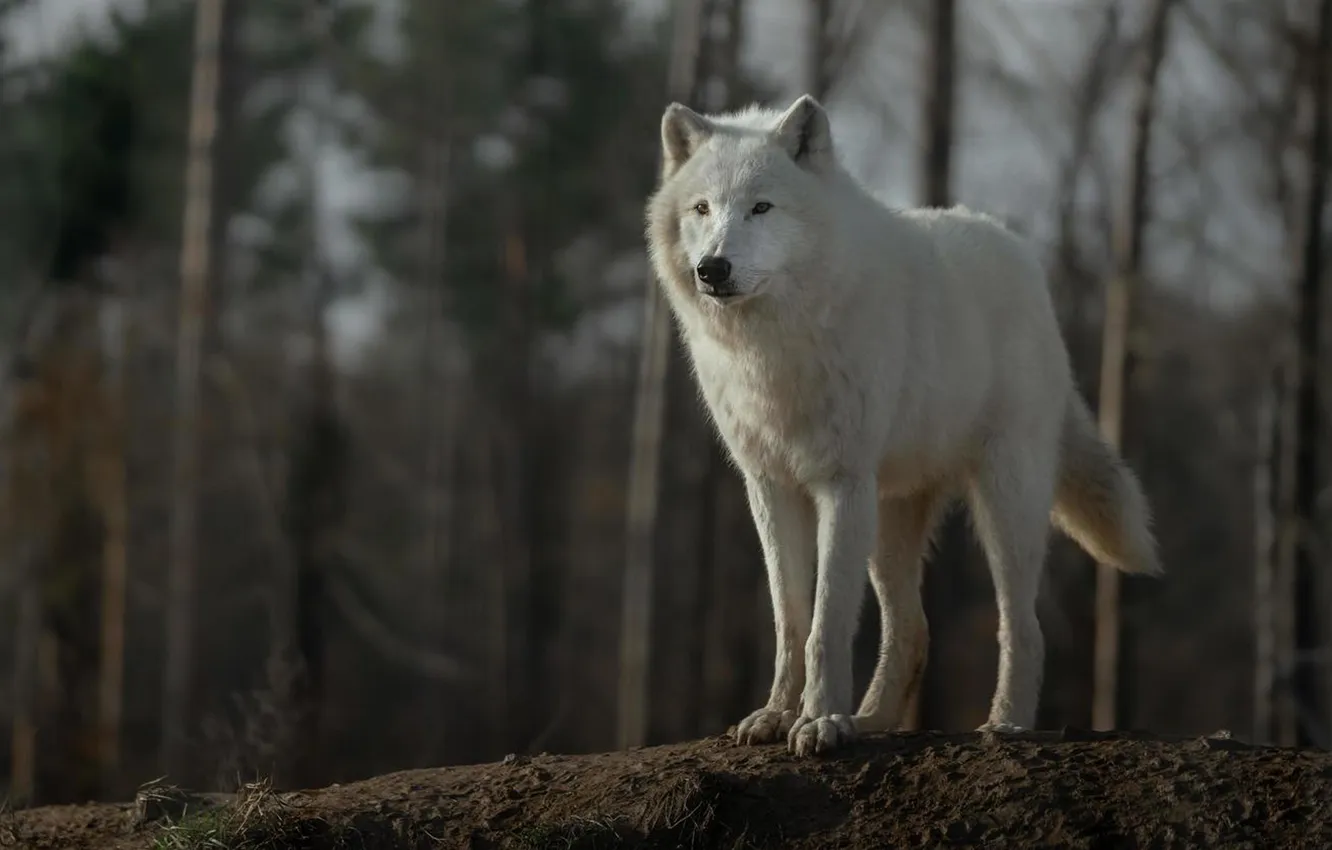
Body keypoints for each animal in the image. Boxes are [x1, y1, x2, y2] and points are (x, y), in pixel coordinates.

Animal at [643, 94, 1160, 757]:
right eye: (702, 209)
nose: (713, 268)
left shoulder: (842, 482)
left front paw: (819, 723)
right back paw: (872, 720)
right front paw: (778, 717)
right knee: (912, 630)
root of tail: (1018, 252)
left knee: (1024, 626)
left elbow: (826, 621)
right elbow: (791, 618)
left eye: (761, 207)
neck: (776, 347)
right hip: (889, 522)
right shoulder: (769, 485)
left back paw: (1005, 722)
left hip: (1003, 505)